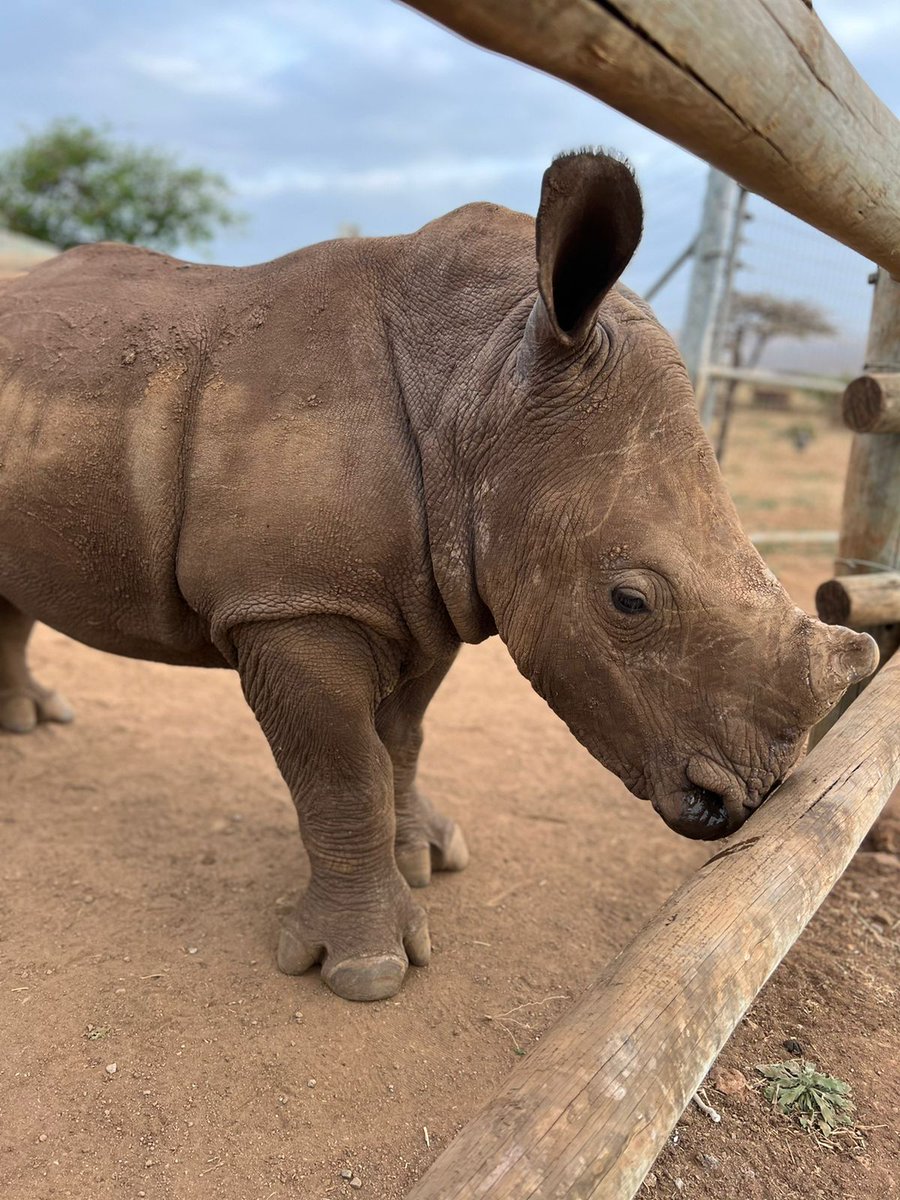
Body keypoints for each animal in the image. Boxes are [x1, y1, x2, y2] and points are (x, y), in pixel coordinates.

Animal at [0, 151, 876, 1001]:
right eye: (629, 601)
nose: (743, 799)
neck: (478, 382)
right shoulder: (293, 605)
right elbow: (345, 771)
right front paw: (365, 971)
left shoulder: (433, 588)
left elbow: (402, 738)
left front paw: (427, 859)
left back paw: (33, 723)